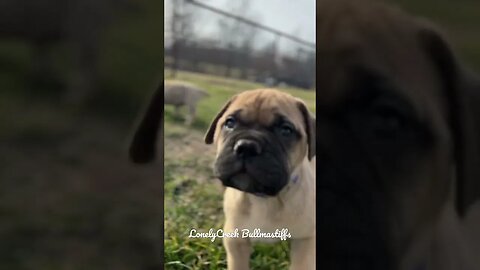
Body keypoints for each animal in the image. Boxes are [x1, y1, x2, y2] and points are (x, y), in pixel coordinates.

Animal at [204, 88, 316, 268]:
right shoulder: (236, 240)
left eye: (286, 130)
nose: (247, 146)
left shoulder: (305, 240)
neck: (264, 198)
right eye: (230, 123)